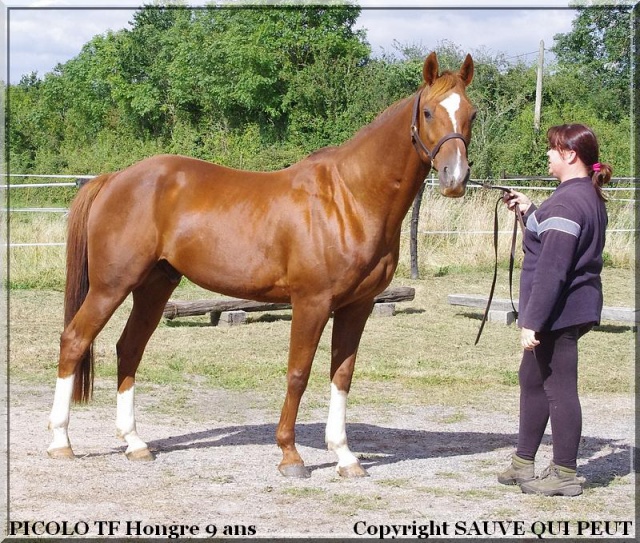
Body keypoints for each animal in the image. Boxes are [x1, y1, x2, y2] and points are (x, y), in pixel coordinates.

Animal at [47, 53, 476, 478]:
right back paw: (60, 443)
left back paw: (135, 444)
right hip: (111, 286)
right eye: (428, 112)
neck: (350, 198)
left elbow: (342, 375)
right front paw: (290, 455)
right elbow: (298, 374)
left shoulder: (358, 306)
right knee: (74, 341)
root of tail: (115, 178)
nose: (455, 177)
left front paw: (345, 456)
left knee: (129, 348)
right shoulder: (311, 302)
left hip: (154, 287)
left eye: (471, 113)